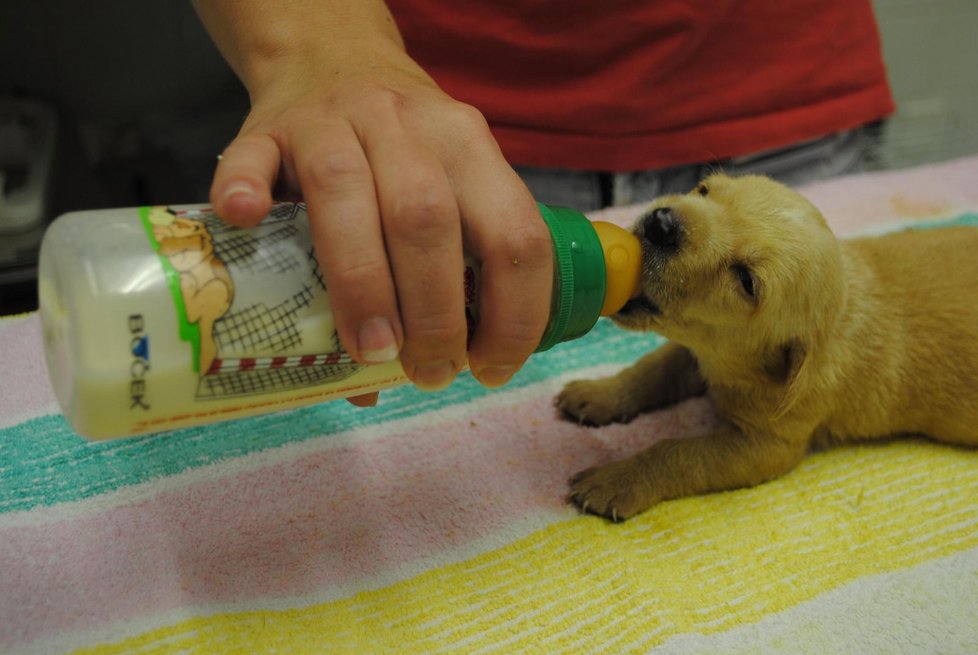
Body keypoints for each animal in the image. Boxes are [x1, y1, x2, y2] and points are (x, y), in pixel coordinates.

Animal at [556, 173, 976, 524]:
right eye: (704, 189)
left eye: (746, 281)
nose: (662, 223)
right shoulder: (697, 352)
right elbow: (652, 371)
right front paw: (597, 394)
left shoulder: (768, 445)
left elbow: (680, 453)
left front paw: (617, 480)